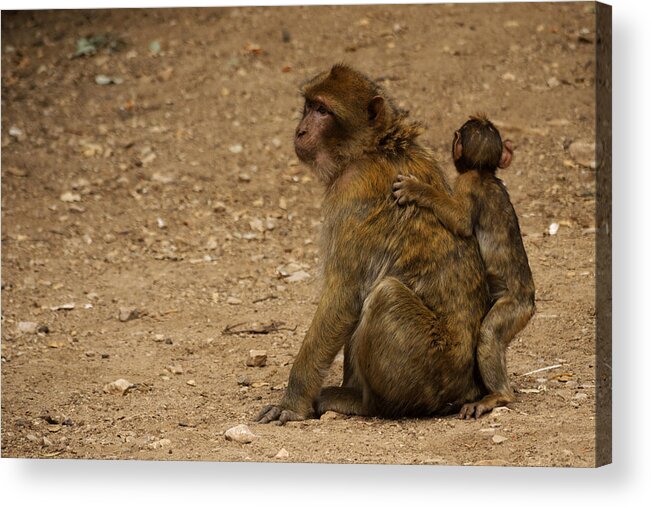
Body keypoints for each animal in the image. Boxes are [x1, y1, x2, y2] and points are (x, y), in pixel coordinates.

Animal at [258, 66, 492, 424]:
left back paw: (366, 404)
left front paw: (292, 403)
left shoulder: (351, 193)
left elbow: (343, 298)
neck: (374, 148)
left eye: (323, 110)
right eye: (309, 105)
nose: (300, 131)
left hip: (432, 369)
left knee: (385, 296)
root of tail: (468, 385)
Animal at [392, 115, 536, 420]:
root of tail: (529, 304)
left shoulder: (466, 184)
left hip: (513, 309)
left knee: (489, 336)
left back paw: (499, 396)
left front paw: (416, 190)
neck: (484, 174)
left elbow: (460, 222)